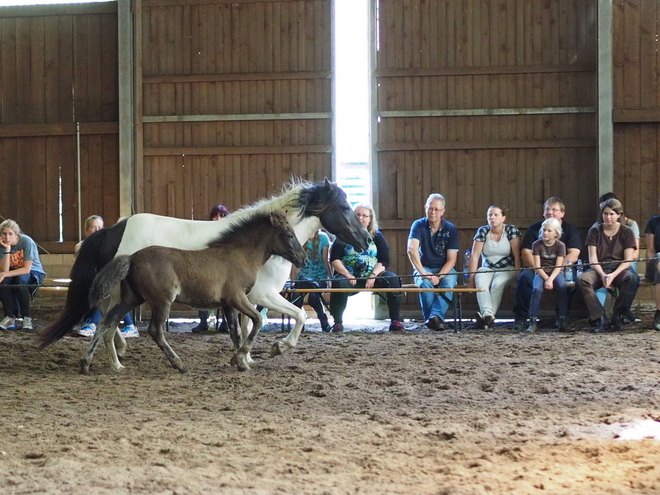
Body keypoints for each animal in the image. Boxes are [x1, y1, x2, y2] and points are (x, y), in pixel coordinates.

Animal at [82, 210, 306, 376]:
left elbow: (235, 331)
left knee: (106, 321)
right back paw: (179, 364)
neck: (239, 254)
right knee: (155, 331)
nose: (302, 258)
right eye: (289, 235)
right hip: (162, 301)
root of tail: (132, 258)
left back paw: (87, 363)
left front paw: (241, 363)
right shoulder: (237, 297)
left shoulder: (227, 304)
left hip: (132, 298)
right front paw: (239, 358)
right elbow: (258, 320)